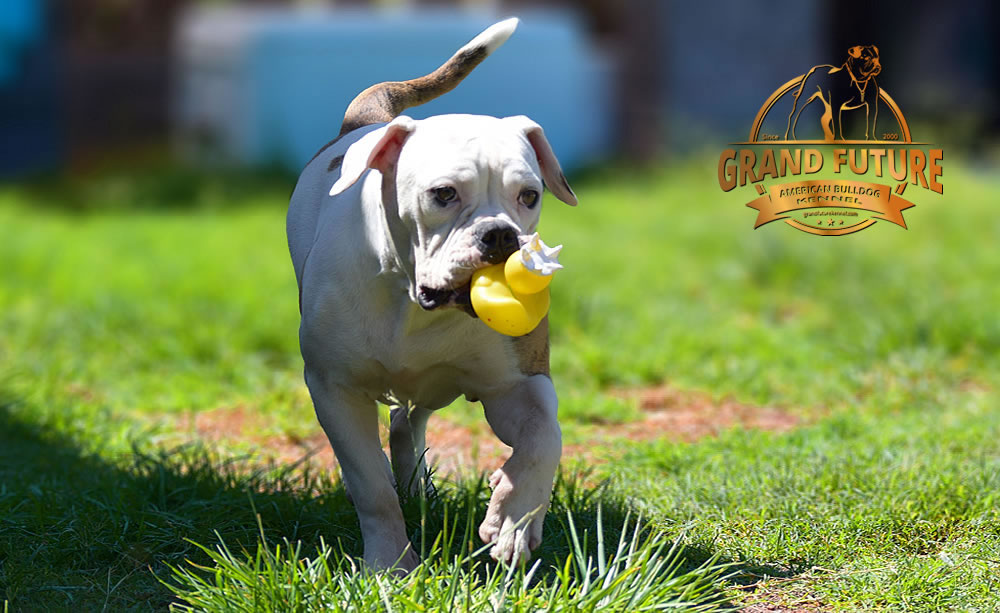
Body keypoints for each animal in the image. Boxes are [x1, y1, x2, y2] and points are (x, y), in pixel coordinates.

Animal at [286, 20, 576, 572]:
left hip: (436, 383)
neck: (410, 297)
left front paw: (512, 520)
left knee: (409, 420)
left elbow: (543, 440)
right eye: (443, 194)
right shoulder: (335, 390)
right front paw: (390, 564)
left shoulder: (517, 383)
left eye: (529, 196)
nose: (500, 235)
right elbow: (371, 486)